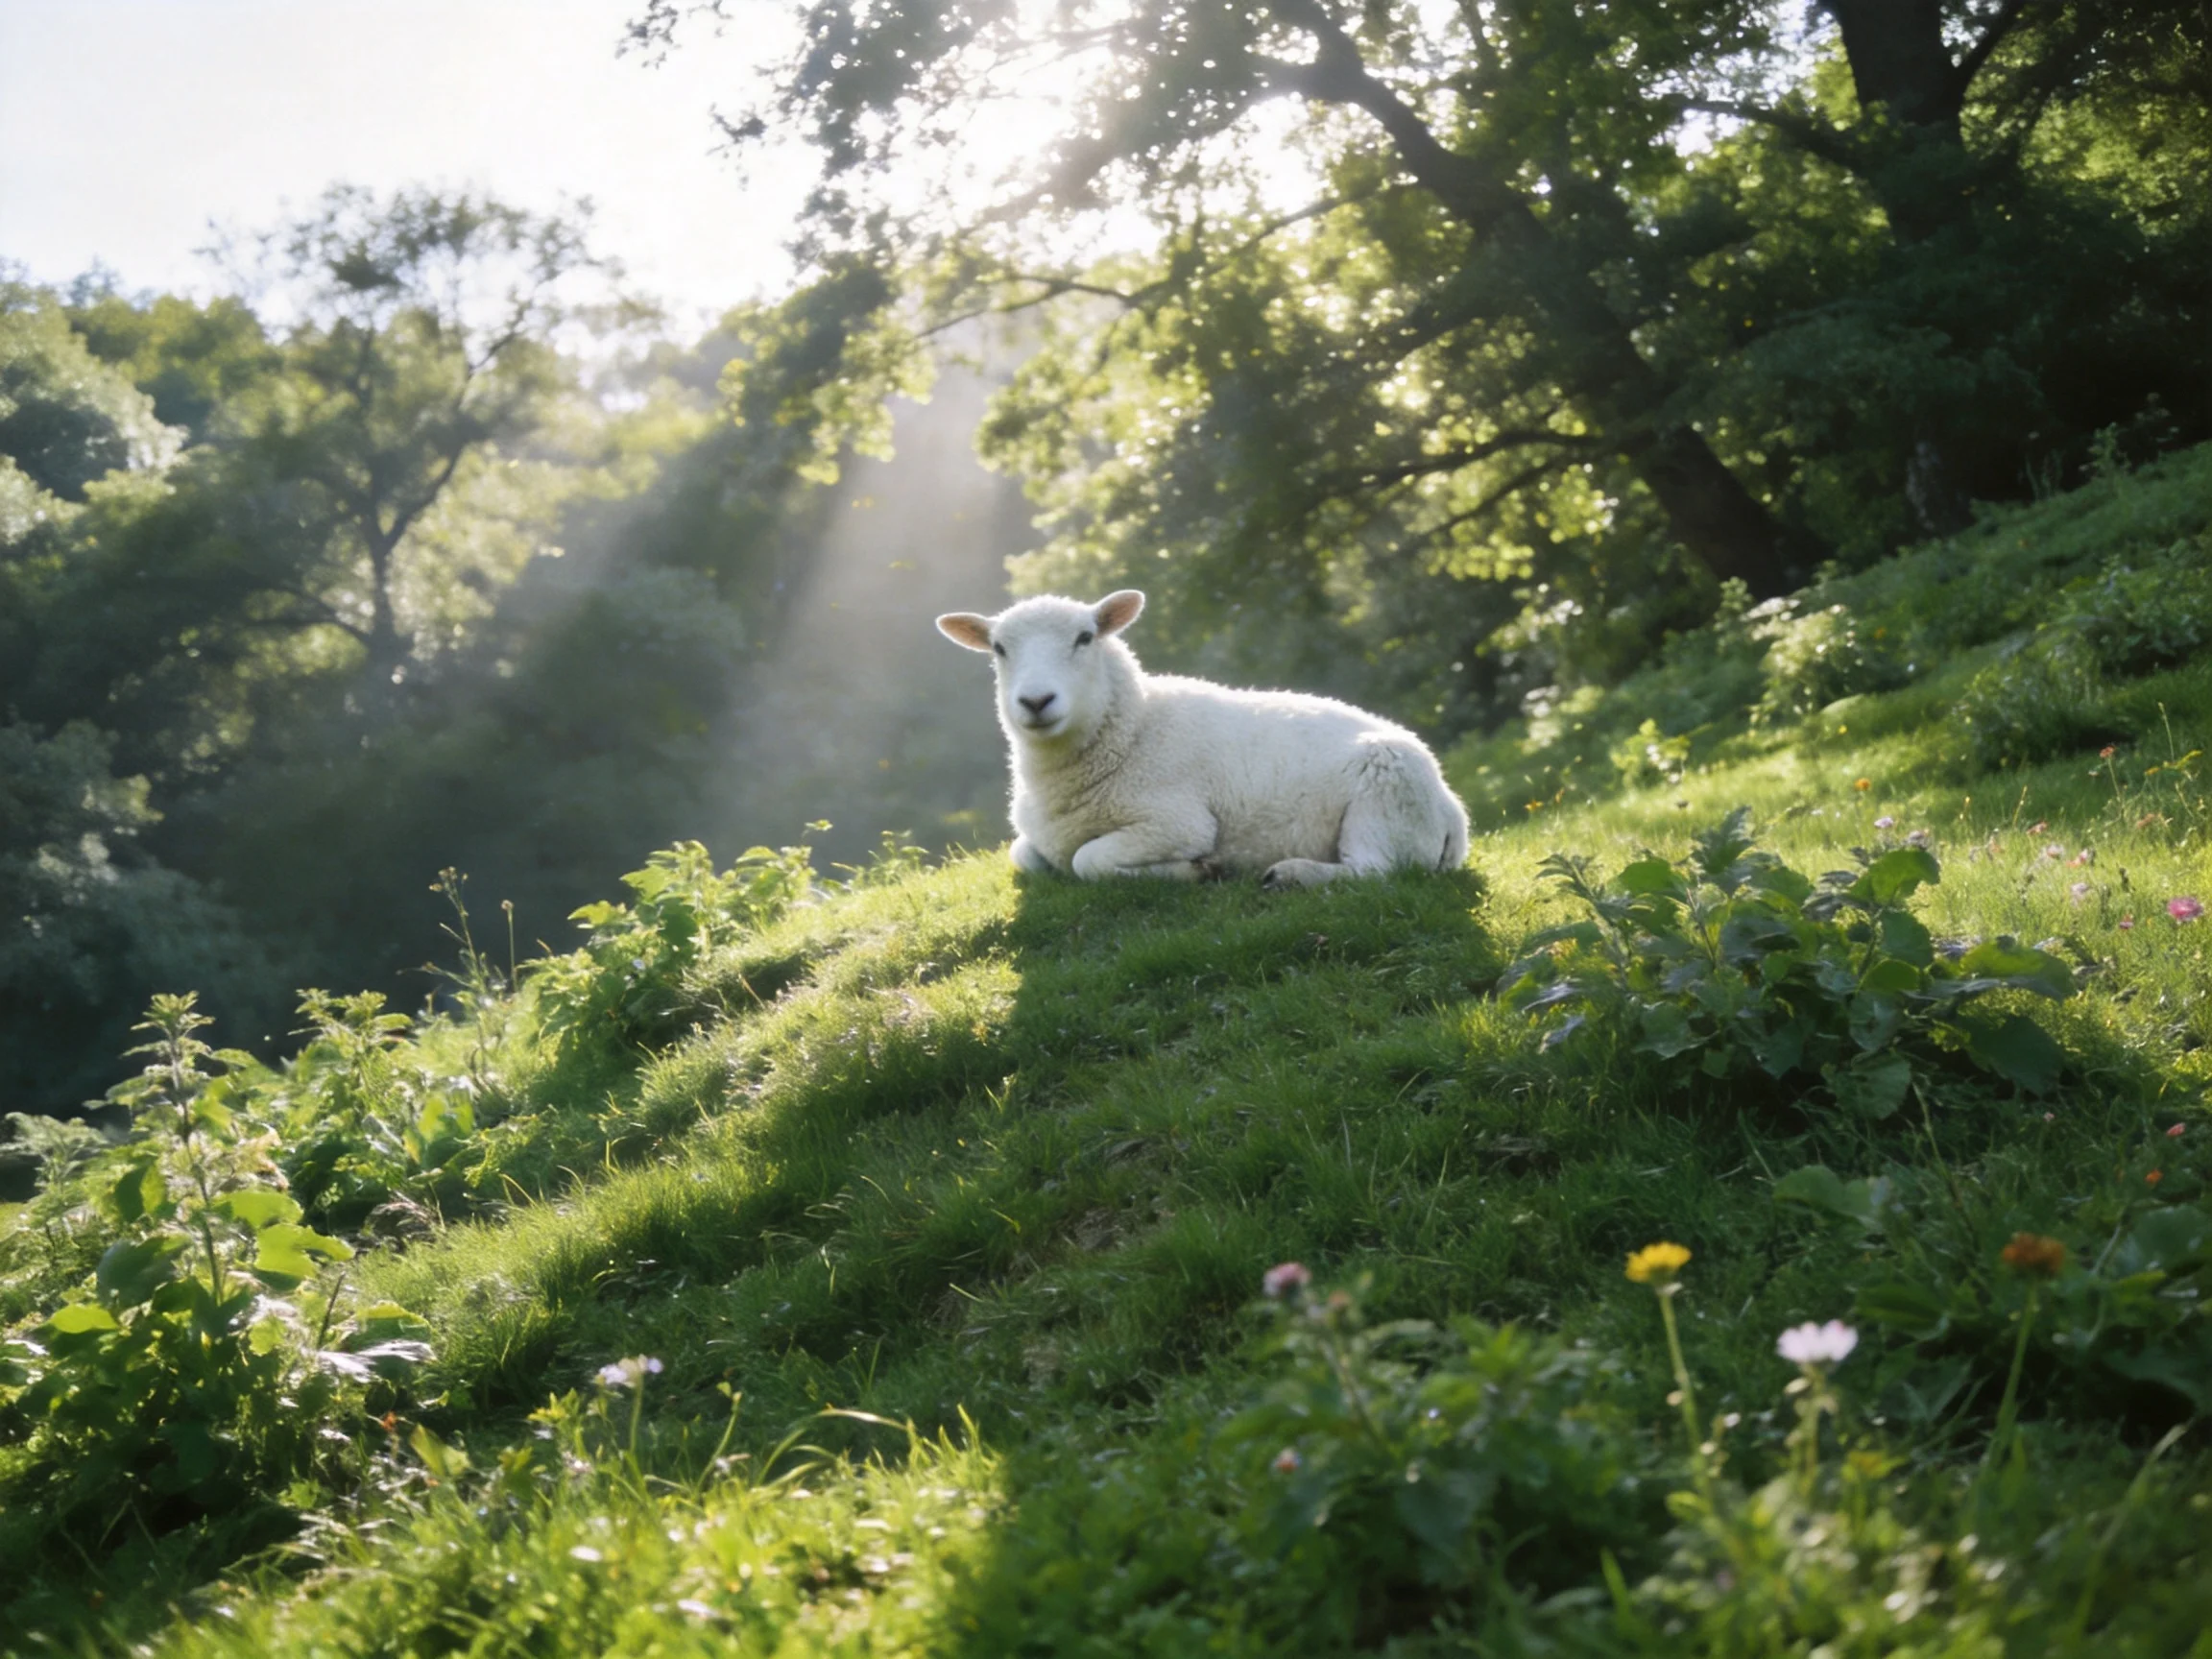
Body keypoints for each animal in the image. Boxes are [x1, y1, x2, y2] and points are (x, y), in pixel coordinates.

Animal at [935, 589, 1471, 886]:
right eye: (999, 649)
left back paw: (1291, 875)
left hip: (1387, 798)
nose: (1035, 701)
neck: (1134, 730)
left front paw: (1197, 871)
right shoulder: (1036, 842)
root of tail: (1454, 811)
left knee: (1376, 872)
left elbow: (1088, 861)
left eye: (1085, 638)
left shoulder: (1176, 823)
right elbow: (1025, 856)